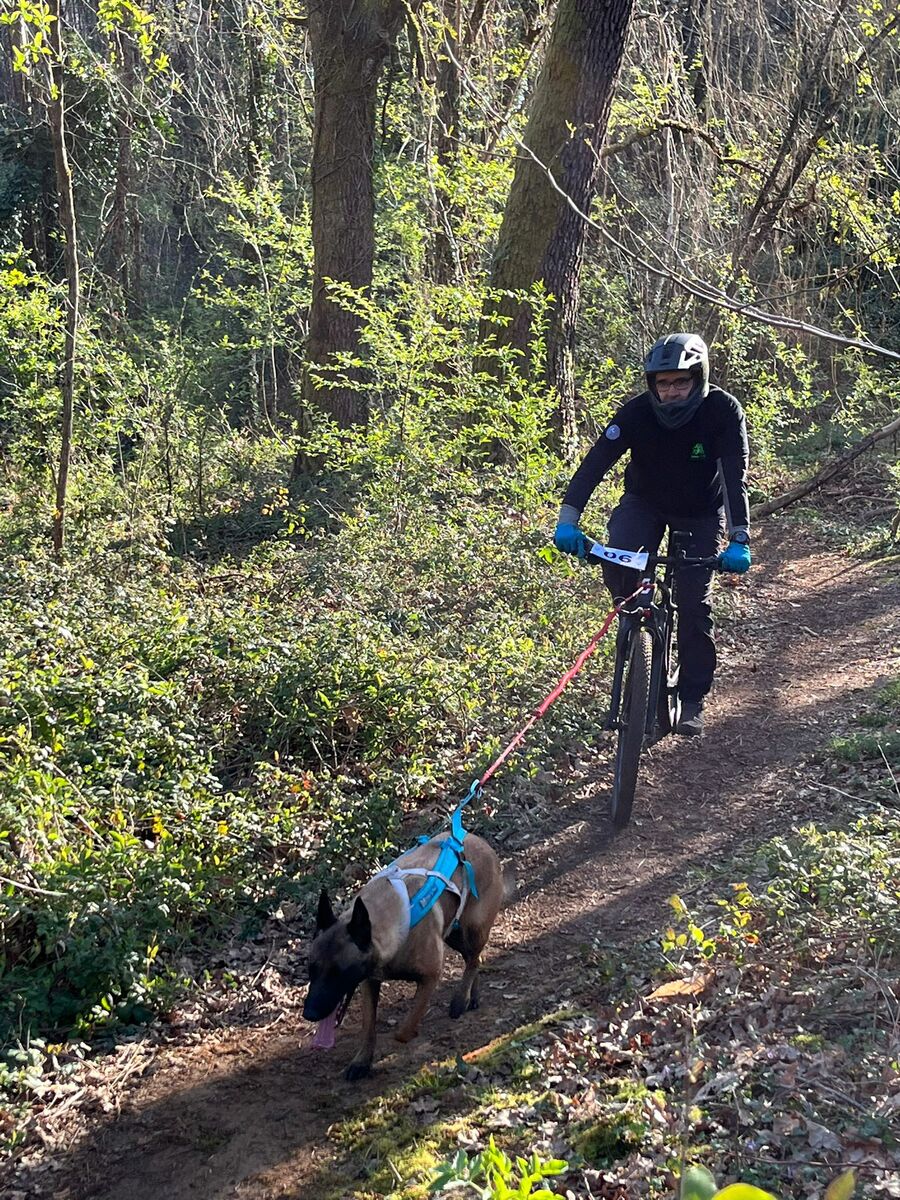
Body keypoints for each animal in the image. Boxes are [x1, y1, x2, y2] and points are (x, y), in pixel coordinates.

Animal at [303, 831, 508, 1080]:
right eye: (311, 969)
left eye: (339, 973)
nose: (309, 1013)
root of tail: (478, 840)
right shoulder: (370, 982)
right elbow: (368, 1027)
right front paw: (362, 1061)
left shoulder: (430, 976)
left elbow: (404, 1029)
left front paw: (407, 1035)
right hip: (454, 933)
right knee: (475, 959)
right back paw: (471, 996)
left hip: (472, 929)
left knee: (473, 959)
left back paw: (461, 999)